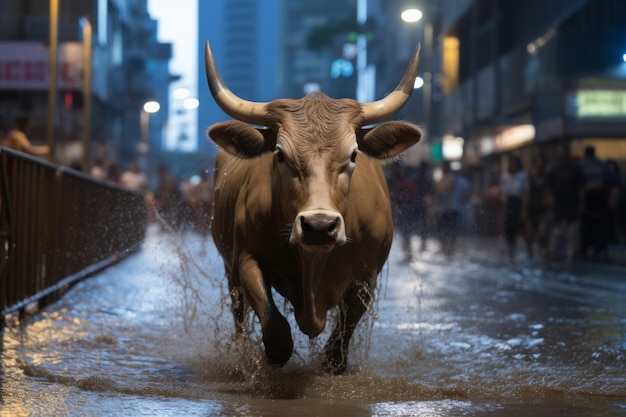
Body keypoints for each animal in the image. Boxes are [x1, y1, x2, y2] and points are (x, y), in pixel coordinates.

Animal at [204, 41, 420, 374]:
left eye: (354, 154)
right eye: (280, 154)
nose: (319, 226)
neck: (312, 264)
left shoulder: (366, 278)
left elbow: (338, 347)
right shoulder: (246, 260)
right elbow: (276, 331)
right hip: (230, 272)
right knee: (239, 315)